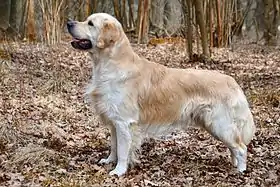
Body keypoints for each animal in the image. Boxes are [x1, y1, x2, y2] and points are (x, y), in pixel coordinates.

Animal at [66, 12, 255, 176]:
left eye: (90, 23)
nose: (69, 23)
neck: (111, 64)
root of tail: (232, 81)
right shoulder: (114, 120)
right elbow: (114, 145)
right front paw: (109, 161)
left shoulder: (124, 121)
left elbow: (122, 150)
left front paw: (118, 171)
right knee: (234, 146)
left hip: (219, 124)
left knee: (241, 147)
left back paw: (241, 171)